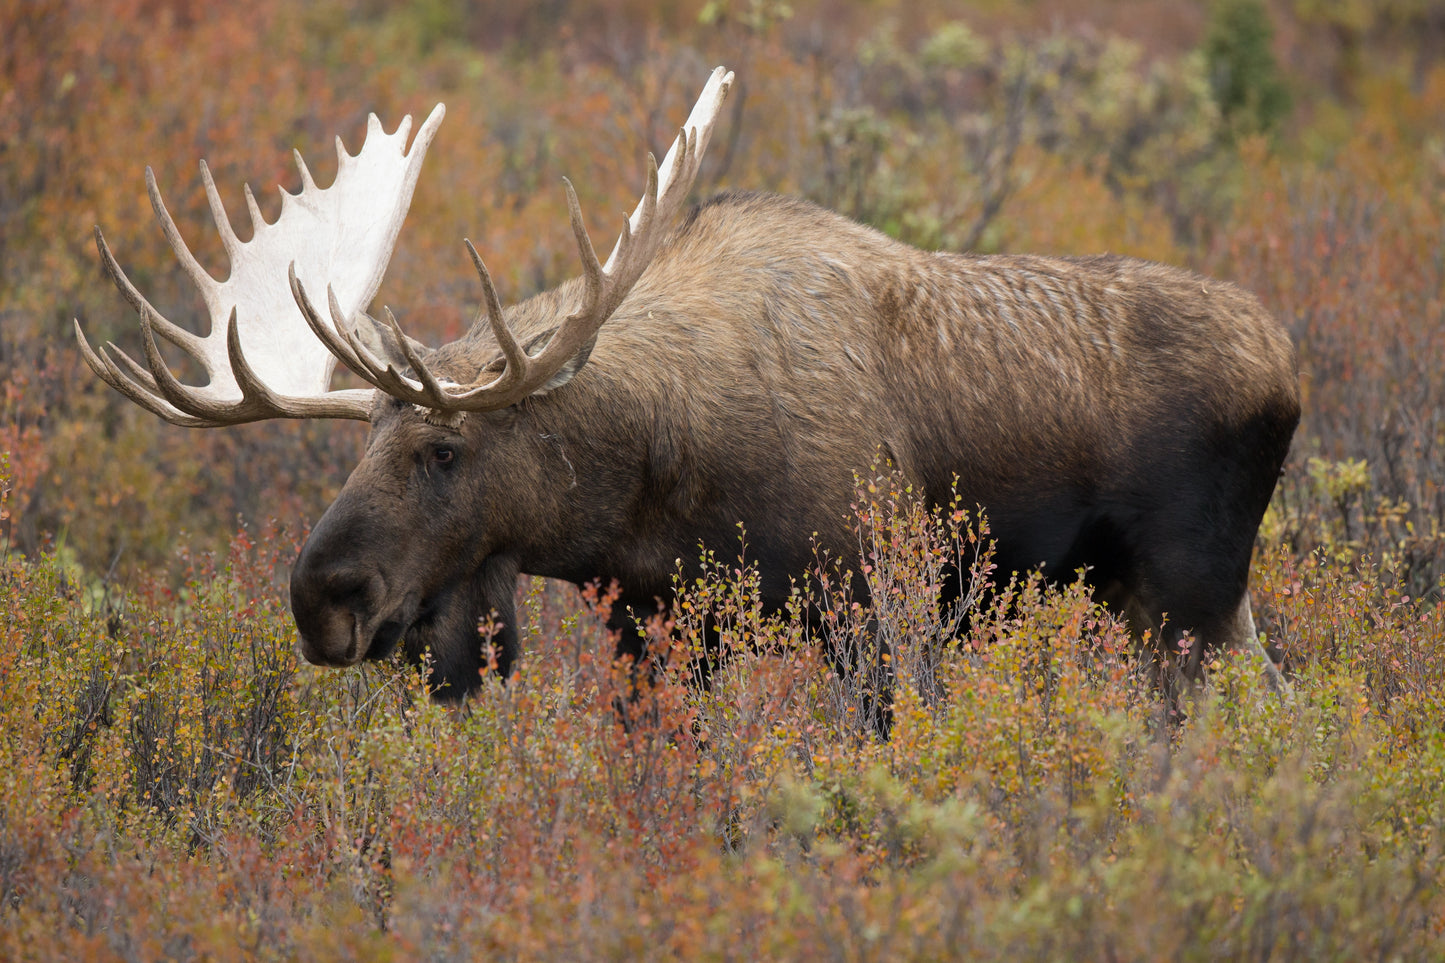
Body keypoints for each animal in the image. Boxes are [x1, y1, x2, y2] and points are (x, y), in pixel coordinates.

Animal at [75, 67, 1299, 715]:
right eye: (357, 445)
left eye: (443, 449)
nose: (321, 596)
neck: (650, 491)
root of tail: (1285, 362)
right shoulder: (652, 627)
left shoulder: (874, 610)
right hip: (1174, 602)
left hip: (1183, 598)